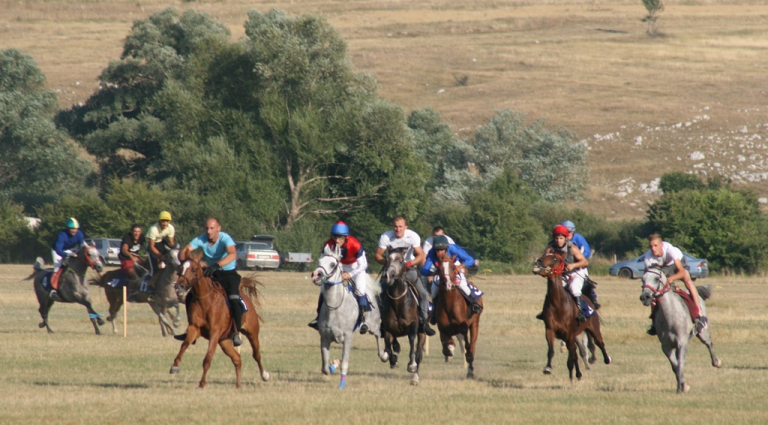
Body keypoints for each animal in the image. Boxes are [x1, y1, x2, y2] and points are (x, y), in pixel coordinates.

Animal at [170, 250, 270, 390]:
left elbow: (208, 358)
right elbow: (184, 345)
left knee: (256, 354)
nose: (179, 286)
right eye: (180, 268)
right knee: (237, 359)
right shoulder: (194, 328)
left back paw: (264, 375)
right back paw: (238, 385)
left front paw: (202, 384)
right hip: (224, 341)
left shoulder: (215, 333)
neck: (205, 300)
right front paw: (175, 366)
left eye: (194, 269)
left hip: (252, 332)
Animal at [308, 245, 388, 388]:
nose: (316, 275)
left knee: (378, 335)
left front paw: (341, 385)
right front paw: (333, 365)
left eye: (332, 264)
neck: (334, 308)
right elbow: (325, 368)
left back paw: (384, 355)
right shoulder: (324, 338)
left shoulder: (348, 337)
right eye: (319, 261)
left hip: (372, 326)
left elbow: (344, 363)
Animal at [380, 247, 428, 386]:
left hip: (422, 332)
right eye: (387, 259)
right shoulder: (387, 328)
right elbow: (387, 346)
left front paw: (411, 364)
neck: (398, 300)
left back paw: (415, 378)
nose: (388, 276)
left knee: (419, 354)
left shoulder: (413, 325)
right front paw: (392, 359)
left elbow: (412, 340)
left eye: (401, 261)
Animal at [536, 252, 612, 380]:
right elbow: (551, 350)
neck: (558, 304)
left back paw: (607, 359)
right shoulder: (550, 330)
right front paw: (548, 368)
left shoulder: (569, 334)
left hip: (594, 327)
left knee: (599, 342)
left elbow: (575, 354)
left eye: (554, 258)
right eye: (544, 254)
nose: (539, 261)